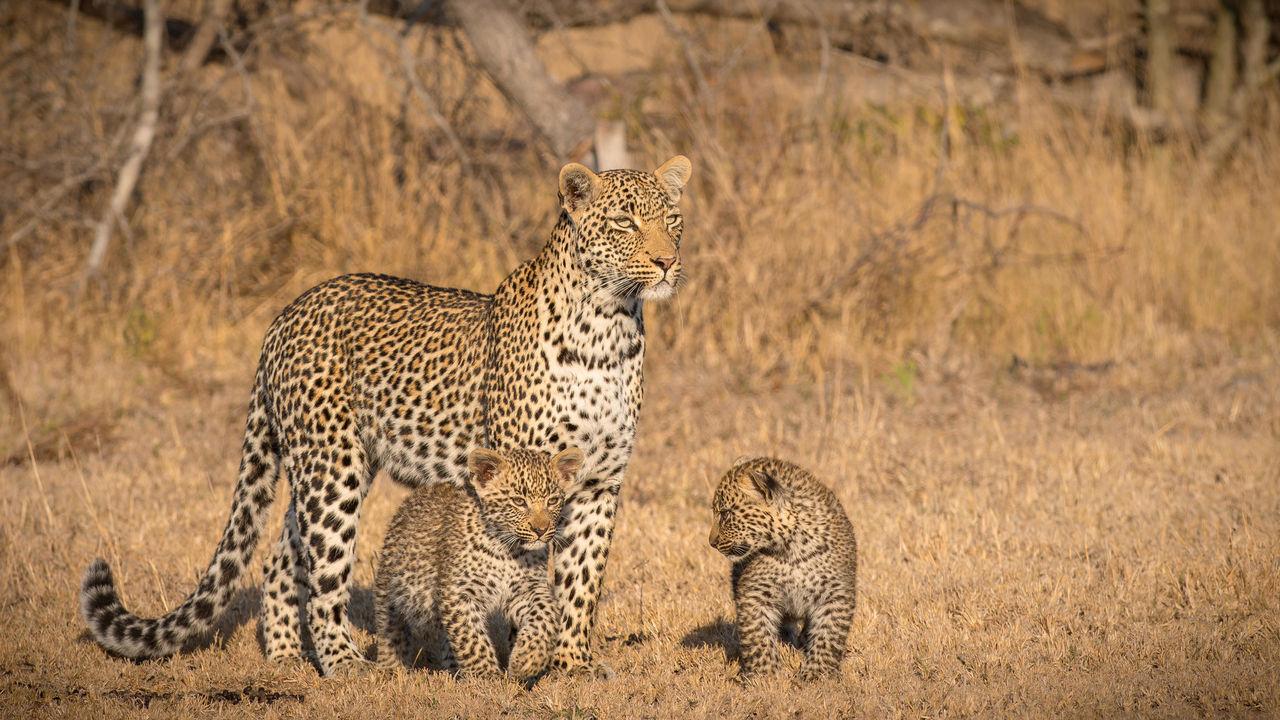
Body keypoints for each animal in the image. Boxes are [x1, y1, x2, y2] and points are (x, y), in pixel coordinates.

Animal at [80, 155, 696, 671]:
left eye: (673, 219)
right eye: (623, 222)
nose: (667, 261)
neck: (610, 327)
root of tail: (285, 314)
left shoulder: (596, 482)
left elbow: (582, 582)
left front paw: (573, 664)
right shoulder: (520, 472)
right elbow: (528, 569)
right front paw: (523, 657)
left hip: (326, 465)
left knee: (283, 558)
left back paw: (286, 658)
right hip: (333, 470)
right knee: (324, 574)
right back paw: (347, 666)